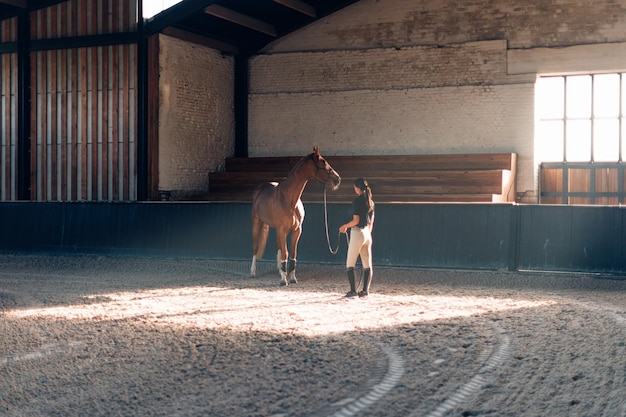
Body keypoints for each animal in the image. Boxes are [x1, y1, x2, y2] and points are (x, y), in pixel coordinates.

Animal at [249, 145, 338, 284]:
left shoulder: (296, 230)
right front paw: (283, 280)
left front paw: (291, 277)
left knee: (278, 247)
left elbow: (292, 254)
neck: (289, 200)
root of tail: (259, 189)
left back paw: (280, 271)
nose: (337, 179)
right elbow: (285, 253)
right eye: (323, 162)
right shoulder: (282, 229)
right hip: (257, 222)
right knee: (255, 246)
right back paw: (253, 272)